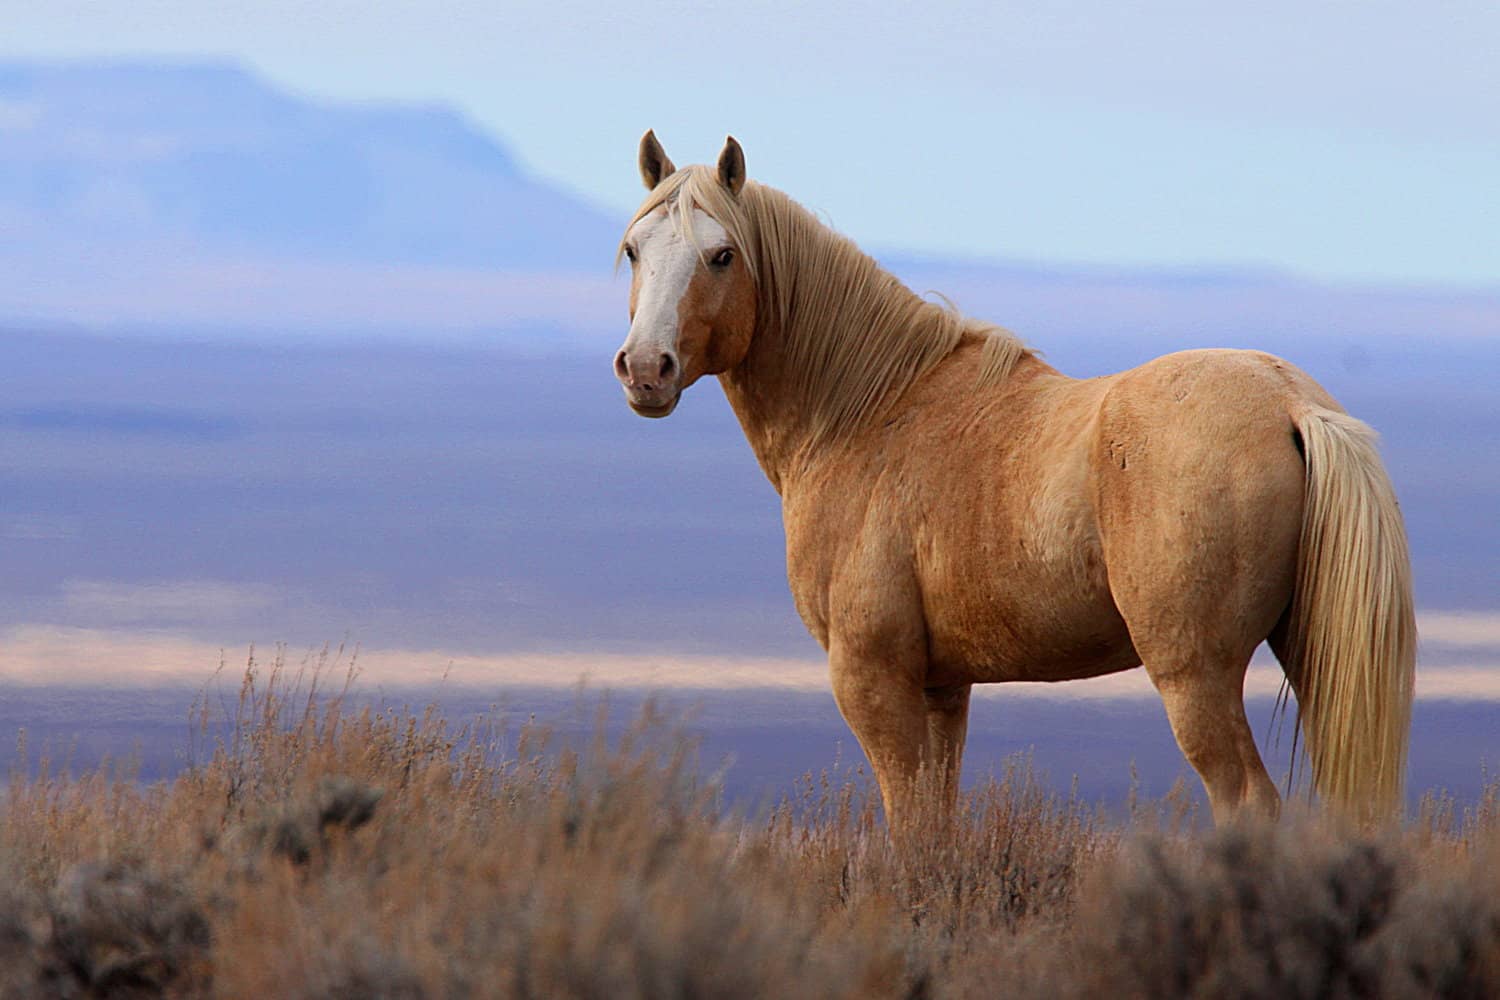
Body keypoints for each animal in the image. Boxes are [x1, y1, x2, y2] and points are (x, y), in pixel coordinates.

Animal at [611, 131, 1415, 829]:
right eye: (632, 250)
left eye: (721, 255)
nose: (646, 369)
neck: (866, 410)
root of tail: (1292, 403)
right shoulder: (942, 688)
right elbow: (934, 826)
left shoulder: (874, 680)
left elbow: (909, 825)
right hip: (1312, 657)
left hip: (1196, 675)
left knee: (1246, 798)